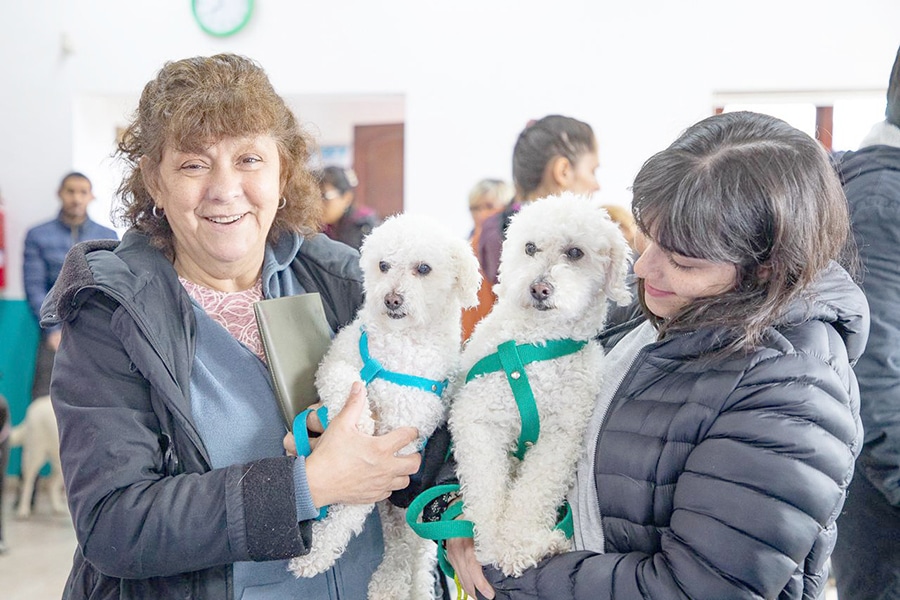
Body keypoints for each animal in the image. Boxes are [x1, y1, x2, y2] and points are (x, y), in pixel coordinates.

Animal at [292, 213, 482, 600]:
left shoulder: (398, 450)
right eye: (383, 266)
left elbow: (351, 509)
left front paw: (317, 552)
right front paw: (359, 423)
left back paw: (393, 584)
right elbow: (347, 382)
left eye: (423, 268)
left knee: (408, 552)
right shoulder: (337, 363)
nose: (391, 299)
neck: (400, 345)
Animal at [450, 192, 632, 576]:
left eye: (575, 252)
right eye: (530, 248)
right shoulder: (477, 423)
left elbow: (533, 492)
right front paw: (492, 545)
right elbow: (486, 491)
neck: (538, 344)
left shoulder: (560, 438)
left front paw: (520, 545)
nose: (538, 287)